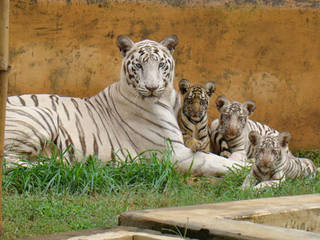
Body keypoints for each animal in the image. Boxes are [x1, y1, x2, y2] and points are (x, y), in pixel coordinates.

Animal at [3, 34, 242, 175]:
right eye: (139, 66)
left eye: (160, 65)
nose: (152, 87)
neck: (167, 99)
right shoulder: (173, 153)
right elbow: (211, 160)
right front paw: (243, 166)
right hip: (43, 115)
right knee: (9, 161)